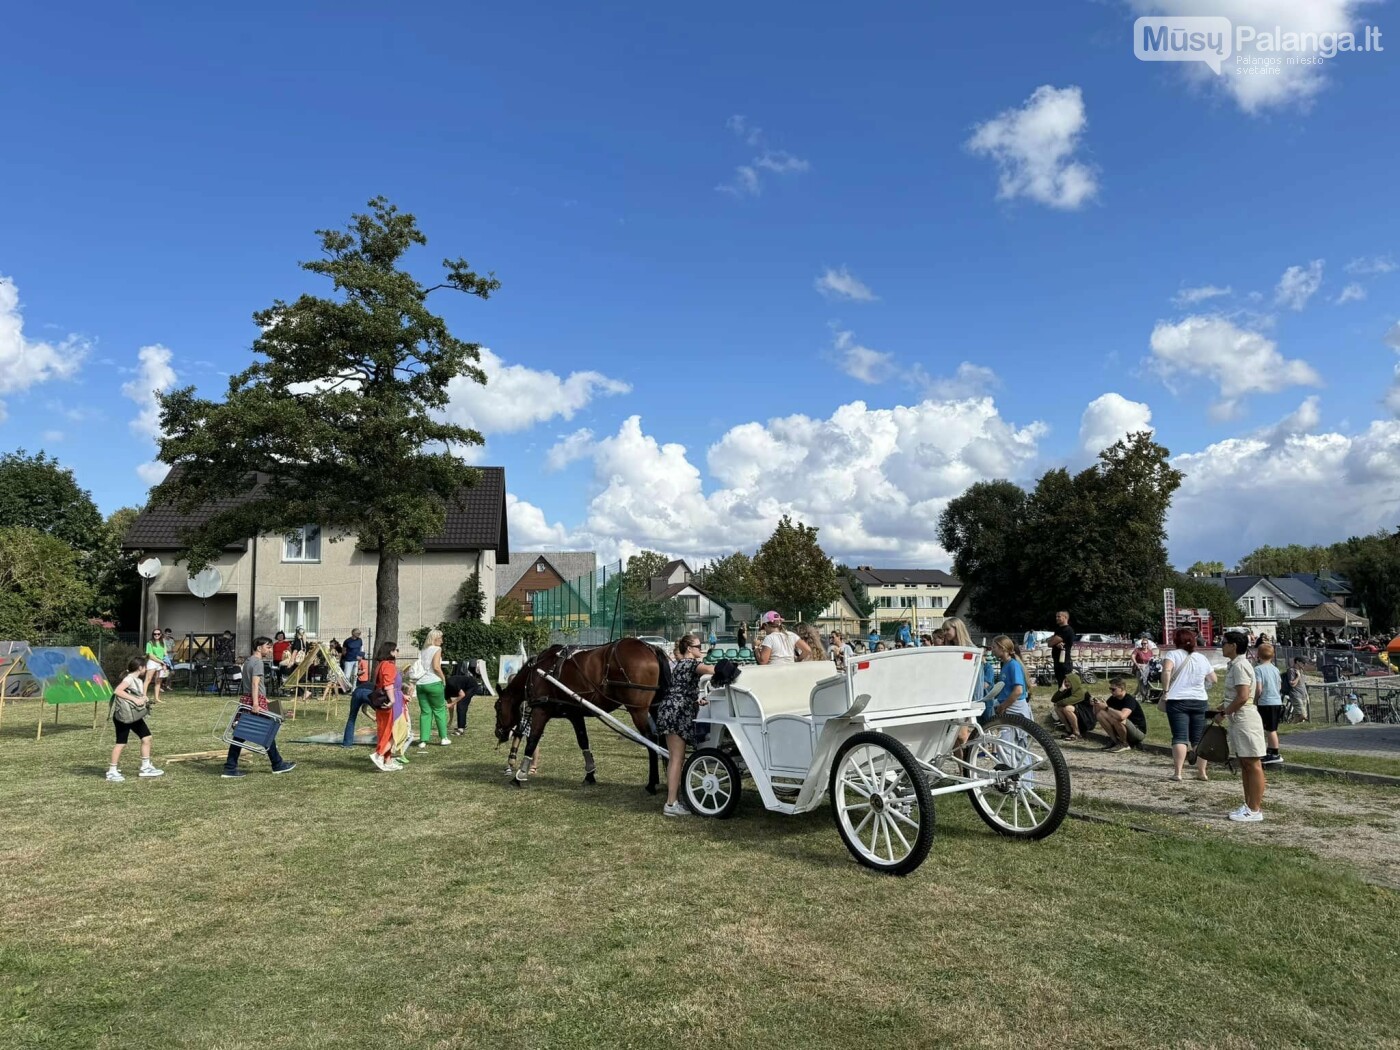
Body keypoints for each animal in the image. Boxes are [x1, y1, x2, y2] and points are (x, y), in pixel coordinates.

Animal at [490, 638, 669, 795]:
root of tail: (649, 647)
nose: (498, 732)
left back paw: (651, 783)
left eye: (497, 707)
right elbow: (583, 741)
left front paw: (519, 775)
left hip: (638, 711)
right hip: (655, 708)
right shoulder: (575, 714)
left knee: (651, 740)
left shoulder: (541, 711)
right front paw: (590, 774)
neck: (537, 672)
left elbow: (532, 742)